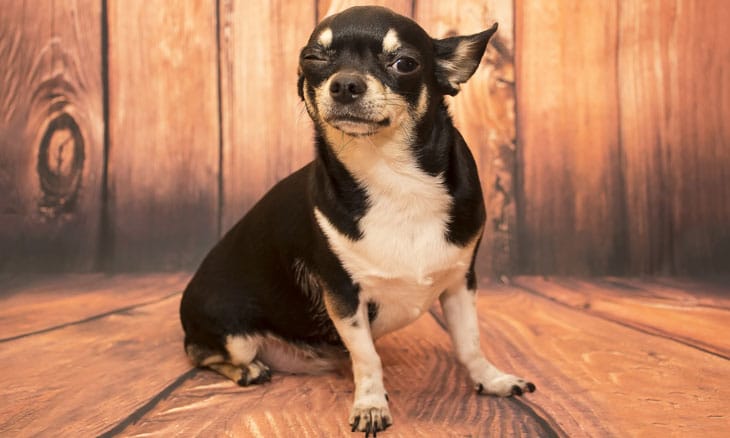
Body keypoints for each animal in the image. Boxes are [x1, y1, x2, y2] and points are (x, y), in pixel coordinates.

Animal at [180, 6, 535, 435]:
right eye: (313, 58)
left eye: (405, 63)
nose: (345, 84)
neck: (394, 177)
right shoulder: (344, 297)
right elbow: (367, 358)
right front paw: (370, 404)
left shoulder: (460, 283)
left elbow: (469, 343)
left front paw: (491, 379)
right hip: (233, 335)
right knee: (200, 353)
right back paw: (247, 370)